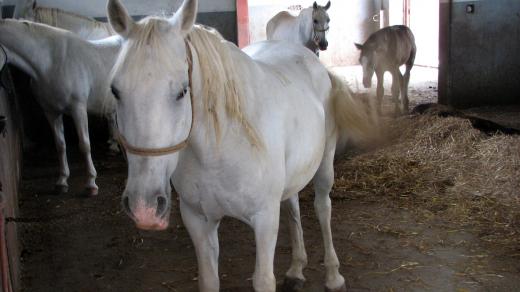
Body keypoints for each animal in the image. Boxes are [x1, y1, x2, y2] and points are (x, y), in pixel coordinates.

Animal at [0, 19, 121, 195]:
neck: (50, 62)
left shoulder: (78, 109)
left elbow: (84, 145)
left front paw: (91, 183)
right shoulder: (51, 112)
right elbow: (60, 145)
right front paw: (62, 181)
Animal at [107, 0, 376, 290]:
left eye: (181, 91)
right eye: (115, 91)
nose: (143, 207)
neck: (217, 149)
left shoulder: (265, 219)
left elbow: (263, 279)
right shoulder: (198, 220)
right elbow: (209, 279)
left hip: (325, 163)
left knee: (322, 208)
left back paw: (333, 275)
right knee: (292, 207)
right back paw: (296, 269)